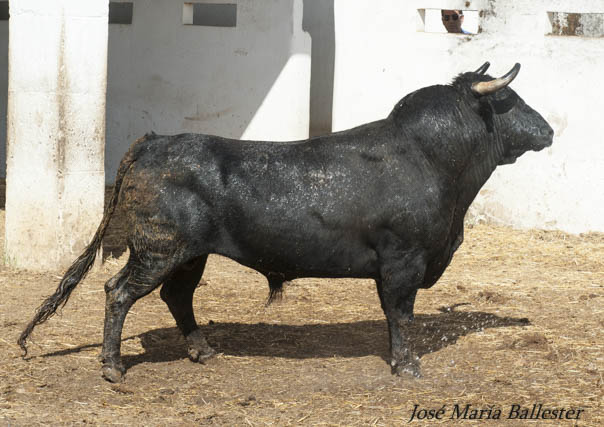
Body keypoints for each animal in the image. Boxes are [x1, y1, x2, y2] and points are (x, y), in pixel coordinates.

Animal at [21, 61, 556, 382]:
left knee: (177, 296)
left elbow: (395, 317)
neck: (428, 157)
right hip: (158, 250)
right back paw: (112, 367)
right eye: (511, 101)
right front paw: (407, 366)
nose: (548, 130)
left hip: (190, 255)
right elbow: (400, 315)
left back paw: (203, 351)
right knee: (120, 292)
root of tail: (156, 141)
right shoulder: (404, 262)